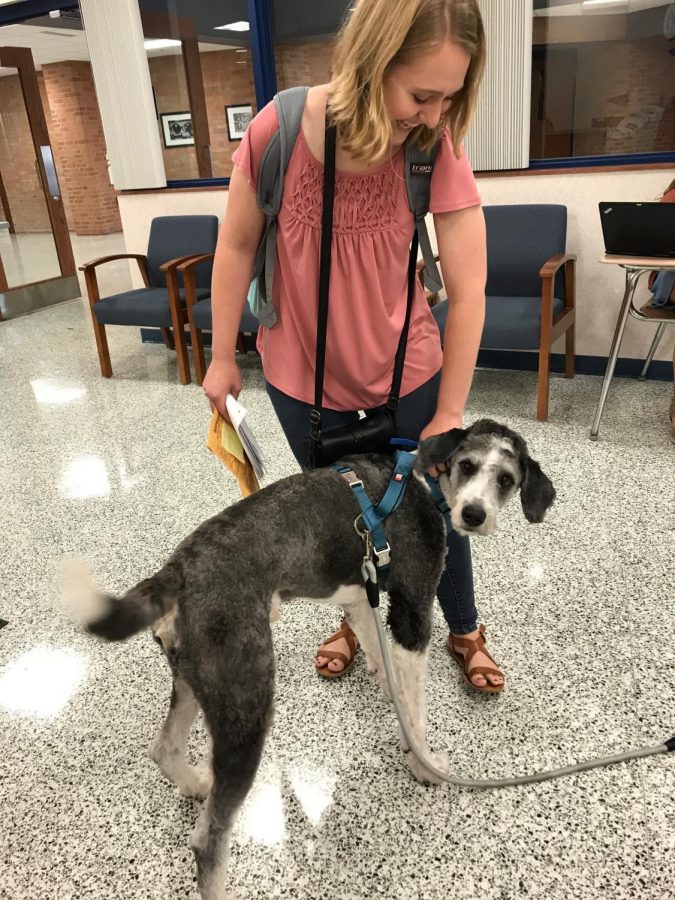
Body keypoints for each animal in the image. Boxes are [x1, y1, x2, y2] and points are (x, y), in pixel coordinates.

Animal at [63, 418, 556, 896]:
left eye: (507, 479)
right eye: (468, 466)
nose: (474, 514)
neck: (422, 482)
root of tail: (175, 572)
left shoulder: (361, 601)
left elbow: (386, 669)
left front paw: (394, 708)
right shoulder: (412, 614)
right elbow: (416, 708)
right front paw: (424, 762)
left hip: (197, 677)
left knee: (164, 748)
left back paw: (195, 784)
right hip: (245, 701)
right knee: (208, 839)